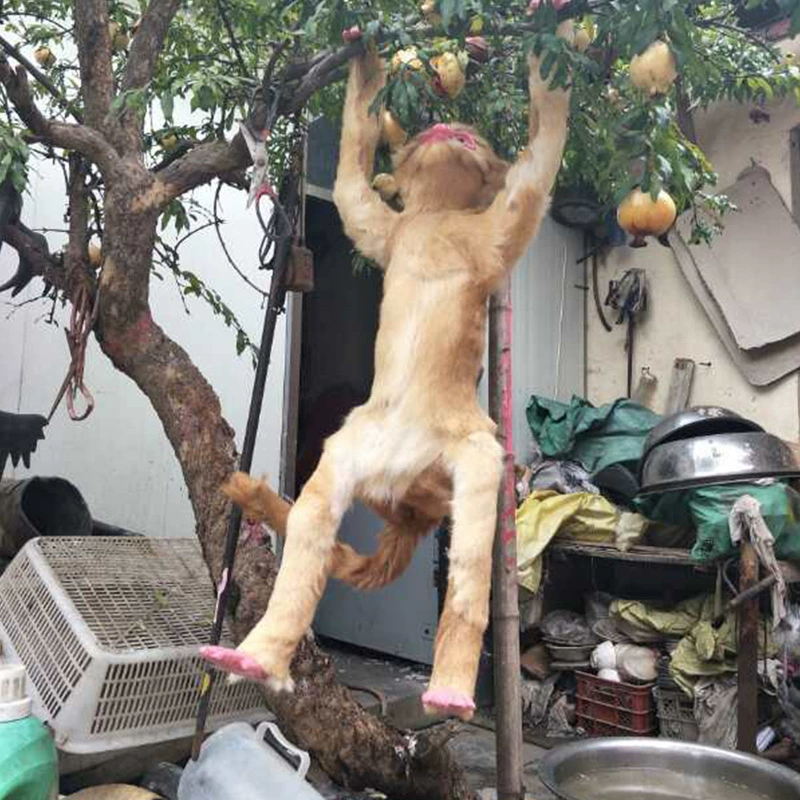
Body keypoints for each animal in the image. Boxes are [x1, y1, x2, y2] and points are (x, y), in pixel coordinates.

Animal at [201, 28, 573, 720]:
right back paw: (256, 656)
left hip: (474, 458)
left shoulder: (500, 229)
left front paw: (555, 37)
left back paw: (450, 687)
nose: (449, 125)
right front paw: (362, 55)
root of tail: (407, 500)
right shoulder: (390, 232)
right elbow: (350, 174)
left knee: (469, 571)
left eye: (472, 140)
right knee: (310, 529)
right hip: (346, 453)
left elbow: (540, 160)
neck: (437, 219)